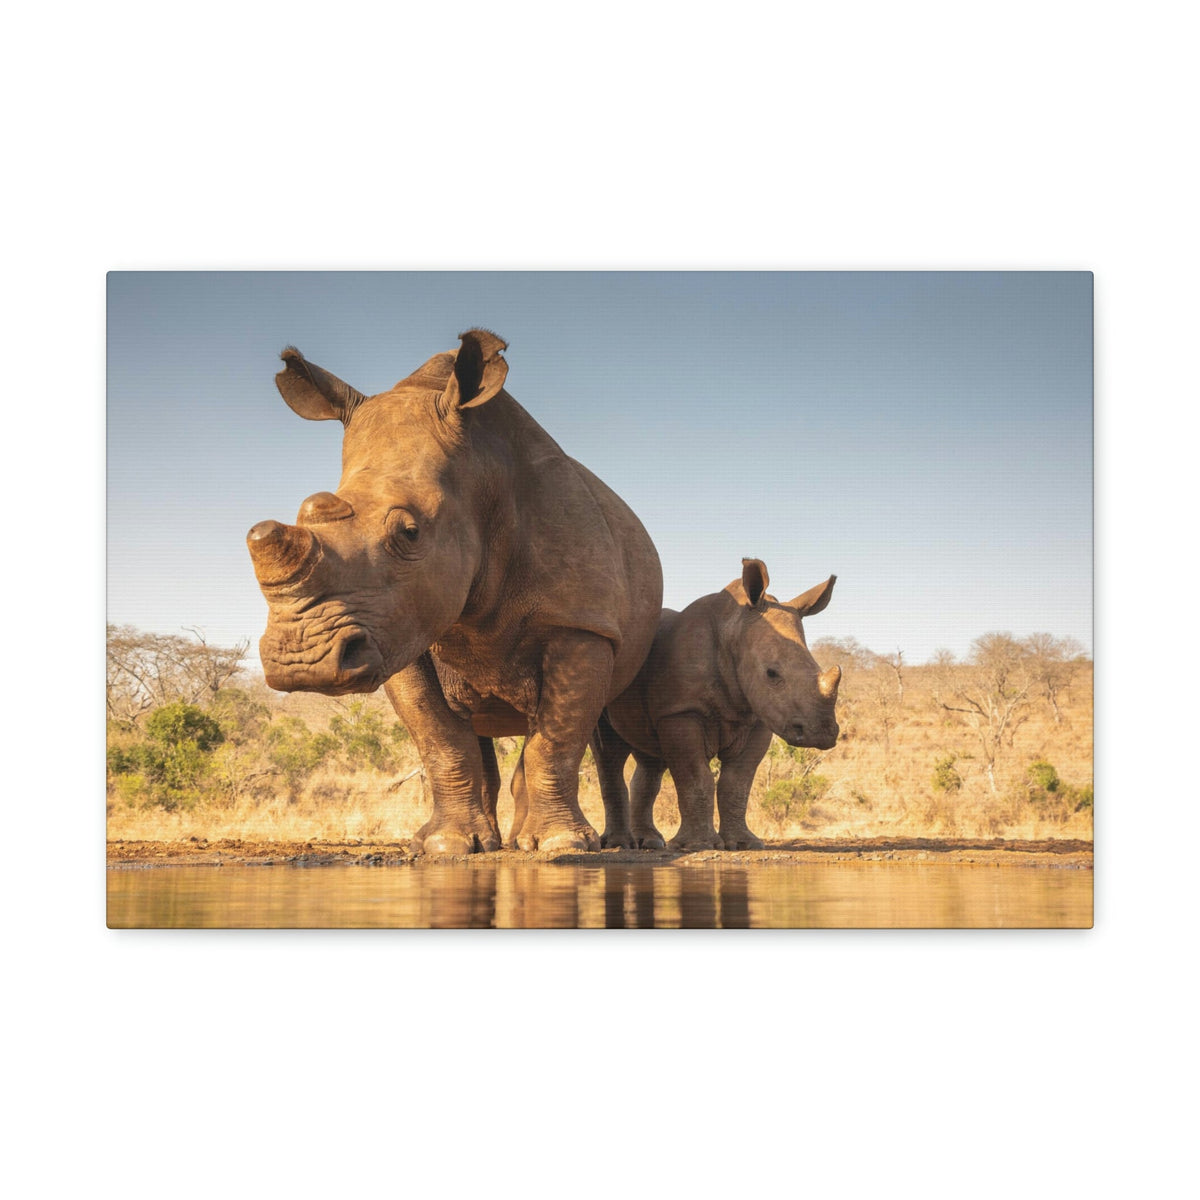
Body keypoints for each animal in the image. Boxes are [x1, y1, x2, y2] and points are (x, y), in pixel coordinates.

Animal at [247, 329, 663, 854]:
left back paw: (582, 844)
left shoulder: (582, 623)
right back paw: (497, 842)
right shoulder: (395, 630)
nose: (302, 661)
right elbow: (440, 739)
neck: (480, 474)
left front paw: (560, 846)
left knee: (595, 738)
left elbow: (557, 740)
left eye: (409, 533)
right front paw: (445, 845)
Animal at [592, 558, 840, 851]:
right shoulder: (681, 711)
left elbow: (737, 784)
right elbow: (696, 778)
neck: (733, 628)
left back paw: (650, 842)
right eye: (771, 673)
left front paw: (744, 844)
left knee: (649, 757)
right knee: (609, 753)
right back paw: (619, 844)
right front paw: (697, 846)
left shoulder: (757, 719)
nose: (822, 733)